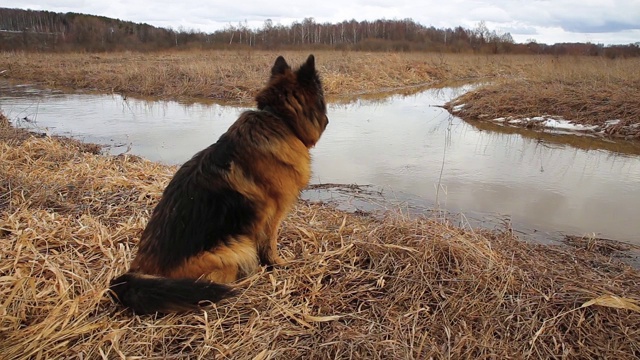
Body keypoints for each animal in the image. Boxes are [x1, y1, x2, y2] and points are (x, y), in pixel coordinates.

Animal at [109, 54, 328, 314]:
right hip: (237, 248)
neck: (278, 118)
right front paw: (278, 264)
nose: (327, 120)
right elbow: (270, 245)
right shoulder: (273, 215)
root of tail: (135, 275)